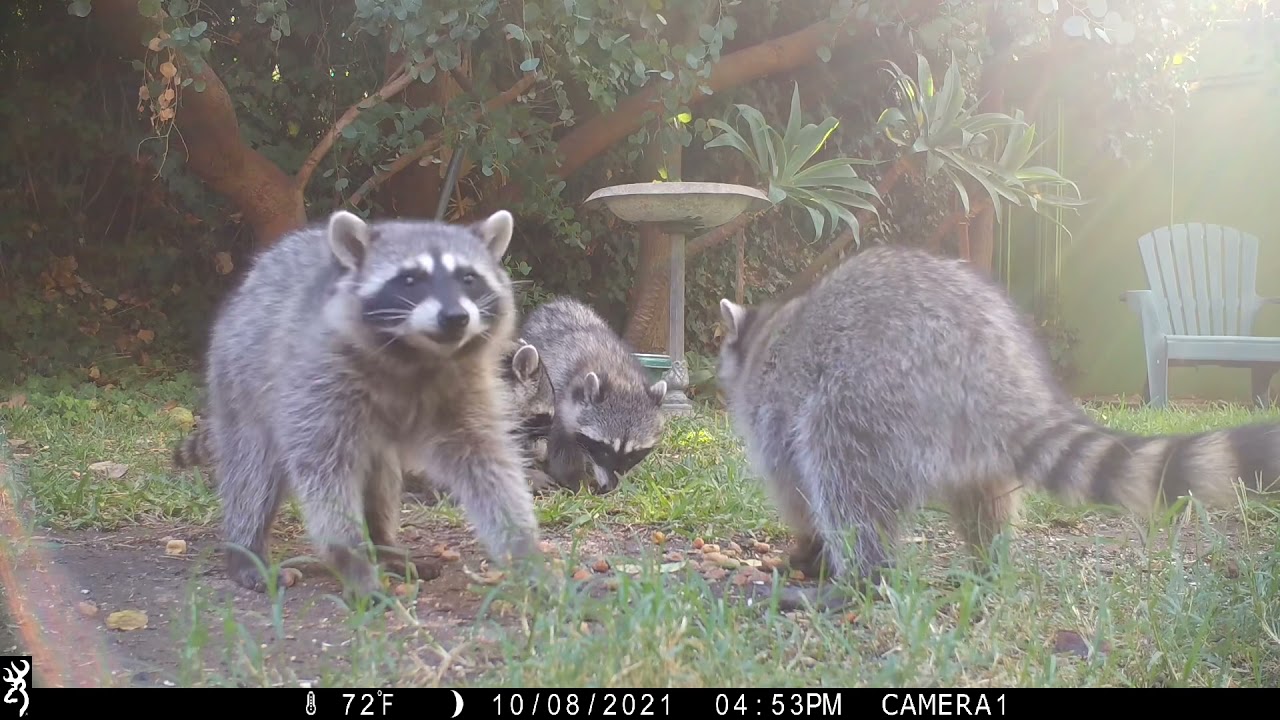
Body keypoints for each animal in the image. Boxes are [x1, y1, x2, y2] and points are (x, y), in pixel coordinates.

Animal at [199, 208, 542, 598]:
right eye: (410, 279)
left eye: (468, 278)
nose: (455, 317)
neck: (417, 354)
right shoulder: (317, 379)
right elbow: (323, 471)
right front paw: (350, 556)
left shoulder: (467, 387)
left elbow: (488, 463)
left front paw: (523, 547)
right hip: (239, 375)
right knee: (252, 470)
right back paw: (247, 546)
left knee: (381, 479)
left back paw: (383, 544)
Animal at [519, 297, 668, 493]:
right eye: (604, 450)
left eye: (632, 455)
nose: (609, 487)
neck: (618, 374)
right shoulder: (558, 398)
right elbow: (560, 449)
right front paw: (576, 481)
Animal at [717, 244, 1280, 603]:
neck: (769, 331)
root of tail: (993, 369)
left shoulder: (775, 412)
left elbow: (794, 486)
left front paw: (808, 546)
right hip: (960, 435)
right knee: (984, 501)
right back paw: (987, 562)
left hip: (873, 394)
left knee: (842, 475)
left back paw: (859, 579)